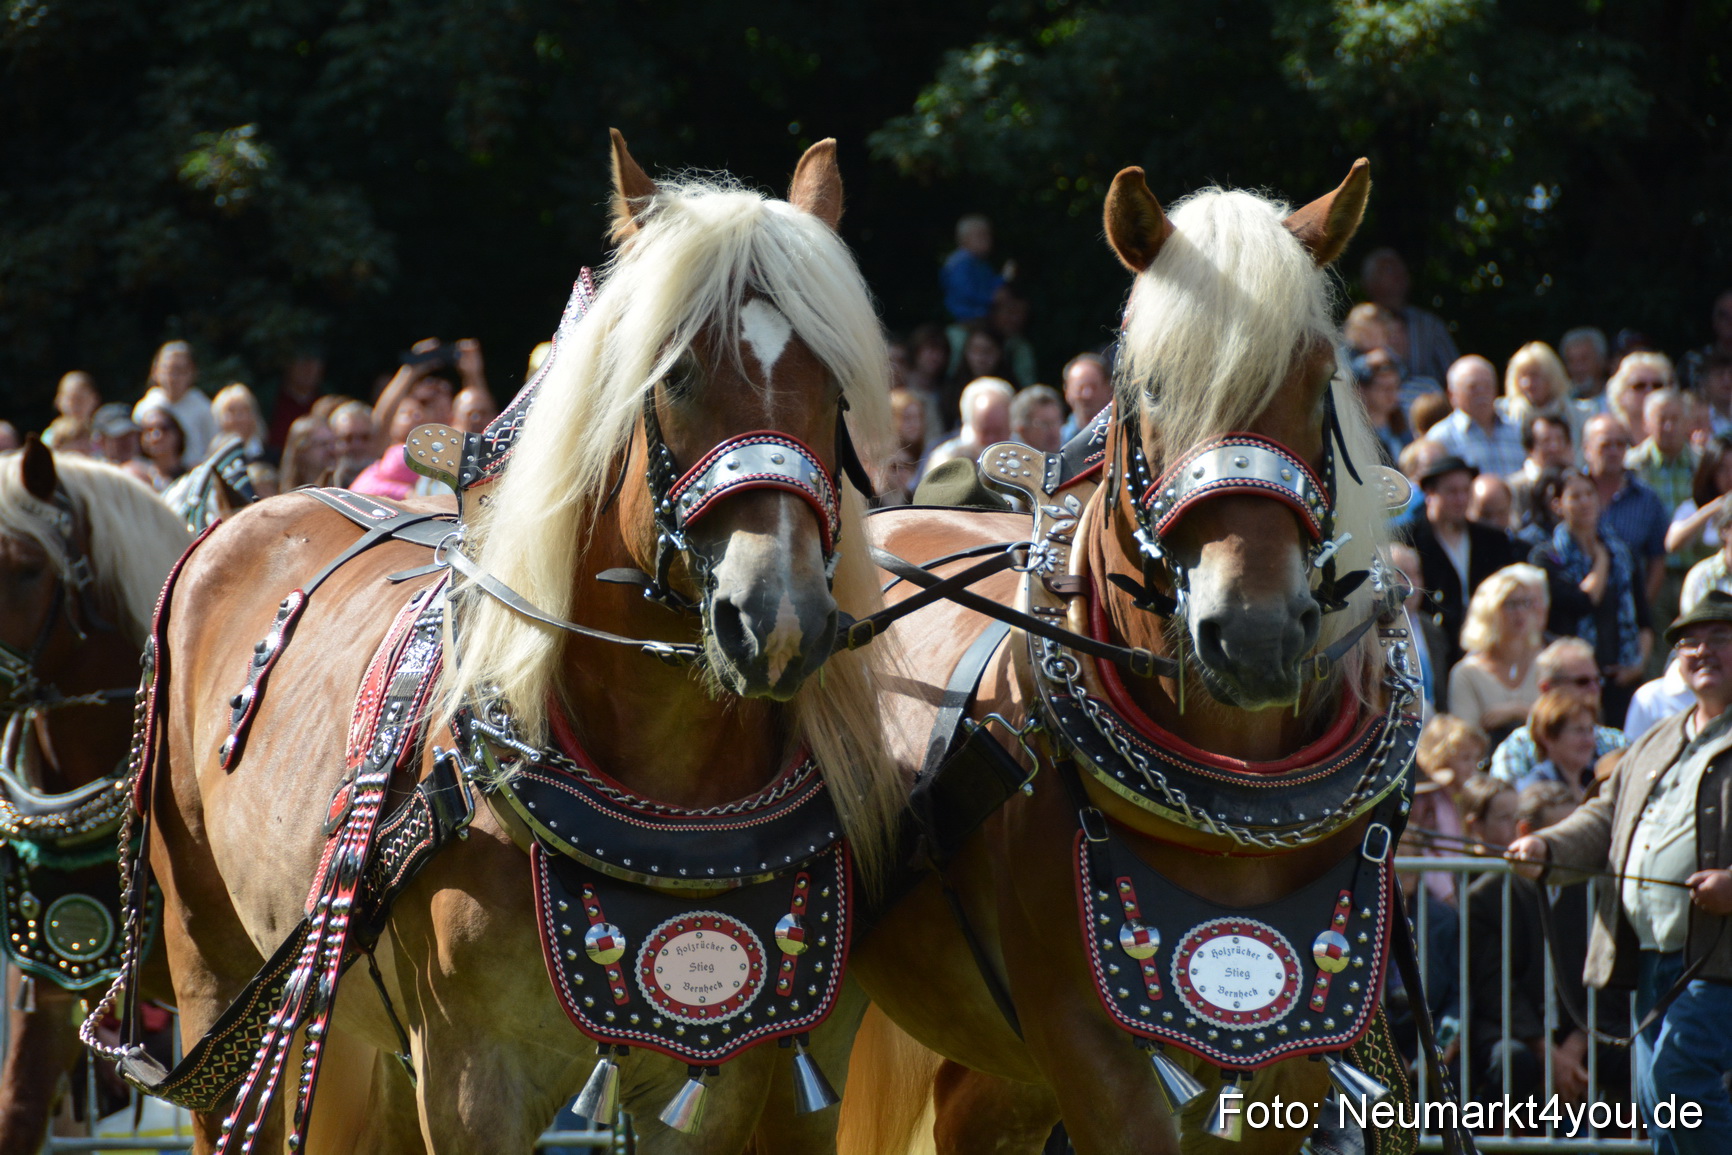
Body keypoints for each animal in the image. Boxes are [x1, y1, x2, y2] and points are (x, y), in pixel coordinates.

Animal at [118, 131, 902, 1154]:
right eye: (675, 374)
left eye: (836, 388)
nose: (775, 617)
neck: (665, 795)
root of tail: (229, 526)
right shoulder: (469, 1078)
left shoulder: (717, 1075)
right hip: (211, 975)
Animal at [840, 160, 1433, 1155]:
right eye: (1151, 388)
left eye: (1319, 382)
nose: (1255, 632)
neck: (1235, 805)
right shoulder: (1085, 1038)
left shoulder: (1302, 1044)